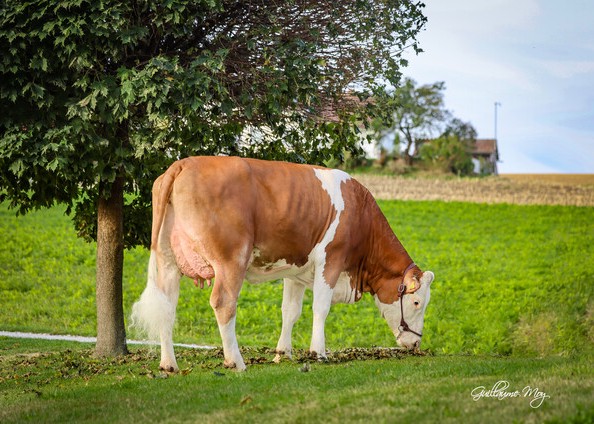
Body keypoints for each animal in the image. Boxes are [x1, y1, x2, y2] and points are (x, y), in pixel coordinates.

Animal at [132, 157, 432, 372]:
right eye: (417, 302)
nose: (417, 342)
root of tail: (183, 163)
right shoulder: (331, 261)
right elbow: (320, 308)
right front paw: (318, 352)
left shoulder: (295, 272)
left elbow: (290, 312)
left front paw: (282, 353)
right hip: (231, 260)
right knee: (223, 303)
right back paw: (235, 362)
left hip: (168, 261)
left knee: (166, 307)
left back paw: (169, 364)